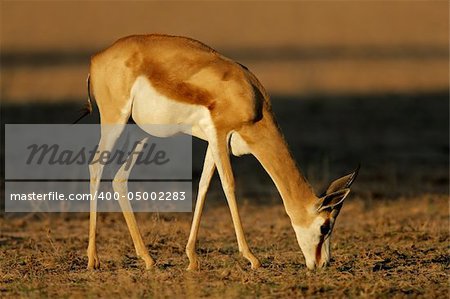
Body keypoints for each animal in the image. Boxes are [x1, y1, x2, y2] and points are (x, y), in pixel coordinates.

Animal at [81, 34, 358, 272]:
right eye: (325, 227)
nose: (322, 264)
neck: (251, 98)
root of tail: (97, 58)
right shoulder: (220, 132)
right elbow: (229, 185)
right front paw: (252, 258)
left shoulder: (215, 142)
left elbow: (204, 184)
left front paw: (192, 259)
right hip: (115, 121)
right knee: (96, 167)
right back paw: (93, 260)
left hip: (143, 131)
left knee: (119, 177)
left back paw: (148, 259)